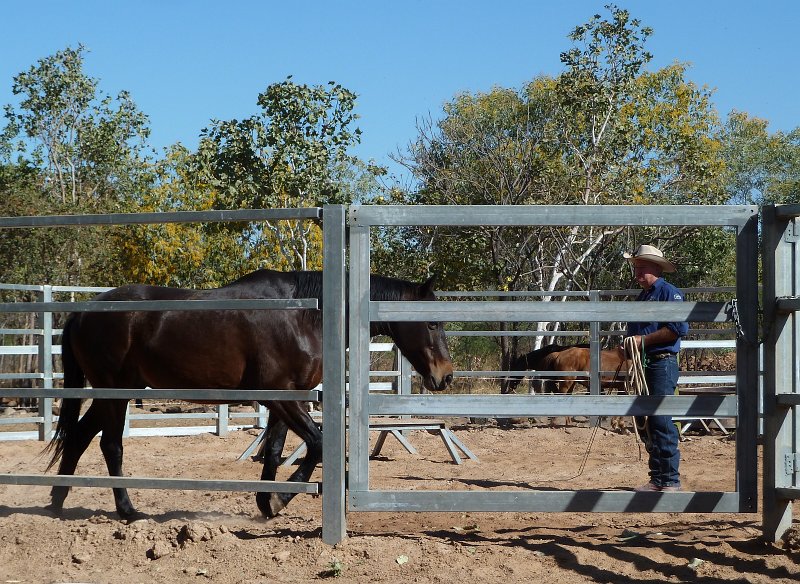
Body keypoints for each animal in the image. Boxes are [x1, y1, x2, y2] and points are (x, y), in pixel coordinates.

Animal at [47, 270, 454, 520]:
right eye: (433, 322)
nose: (446, 376)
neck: (304, 316)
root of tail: (82, 313)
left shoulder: (286, 399)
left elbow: (274, 451)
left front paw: (266, 502)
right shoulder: (281, 397)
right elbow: (318, 443)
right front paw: (281, 497)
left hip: (115, 393)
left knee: (79, 437)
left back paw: (57, 502)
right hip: (113, 393)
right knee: (110, 446)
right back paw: (127, 510)